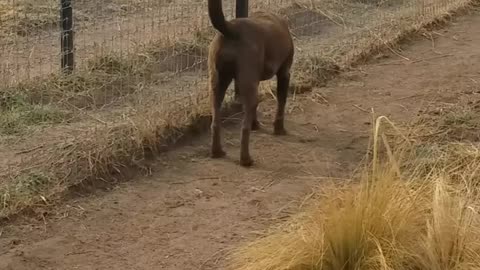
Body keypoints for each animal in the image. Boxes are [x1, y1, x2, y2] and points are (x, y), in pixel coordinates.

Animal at [206, 0, 292, 167]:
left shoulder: (254, 82)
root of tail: (230, 29)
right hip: (246, 82)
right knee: (244, 129)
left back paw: (217, 152)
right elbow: (281, 103)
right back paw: (246, 159)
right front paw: (279, 129)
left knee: (215, 122)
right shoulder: (285, 72)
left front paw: (256, 124)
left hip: (217, 83)